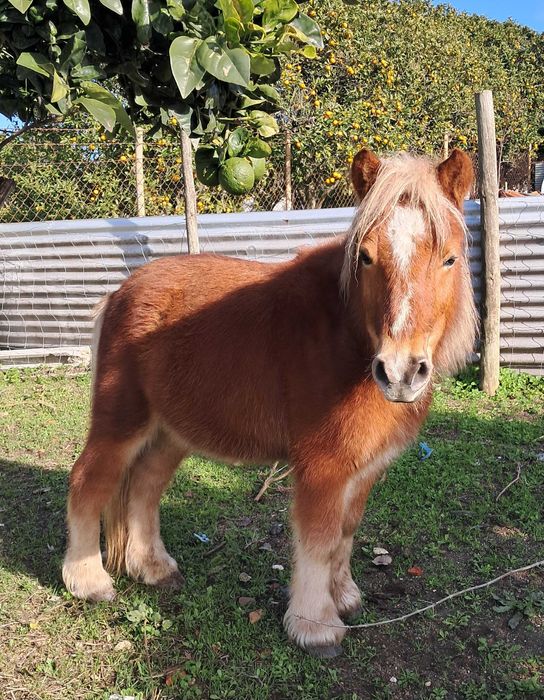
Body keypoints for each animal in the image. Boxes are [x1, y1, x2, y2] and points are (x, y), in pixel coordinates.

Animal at [62, 147, 476, 658]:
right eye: (365, 257)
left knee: (143, 487)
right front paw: (316, 625)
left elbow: (345, 532)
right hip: (121, 421)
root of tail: (121, 292)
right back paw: (88, 581)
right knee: (88, 481)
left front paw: (345, 597)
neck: (344, 337)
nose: (399, 373)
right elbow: (319, 539)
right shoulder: (322, 467)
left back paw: (153, 568)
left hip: (169, 433)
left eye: (449, 259)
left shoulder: (363, 469)